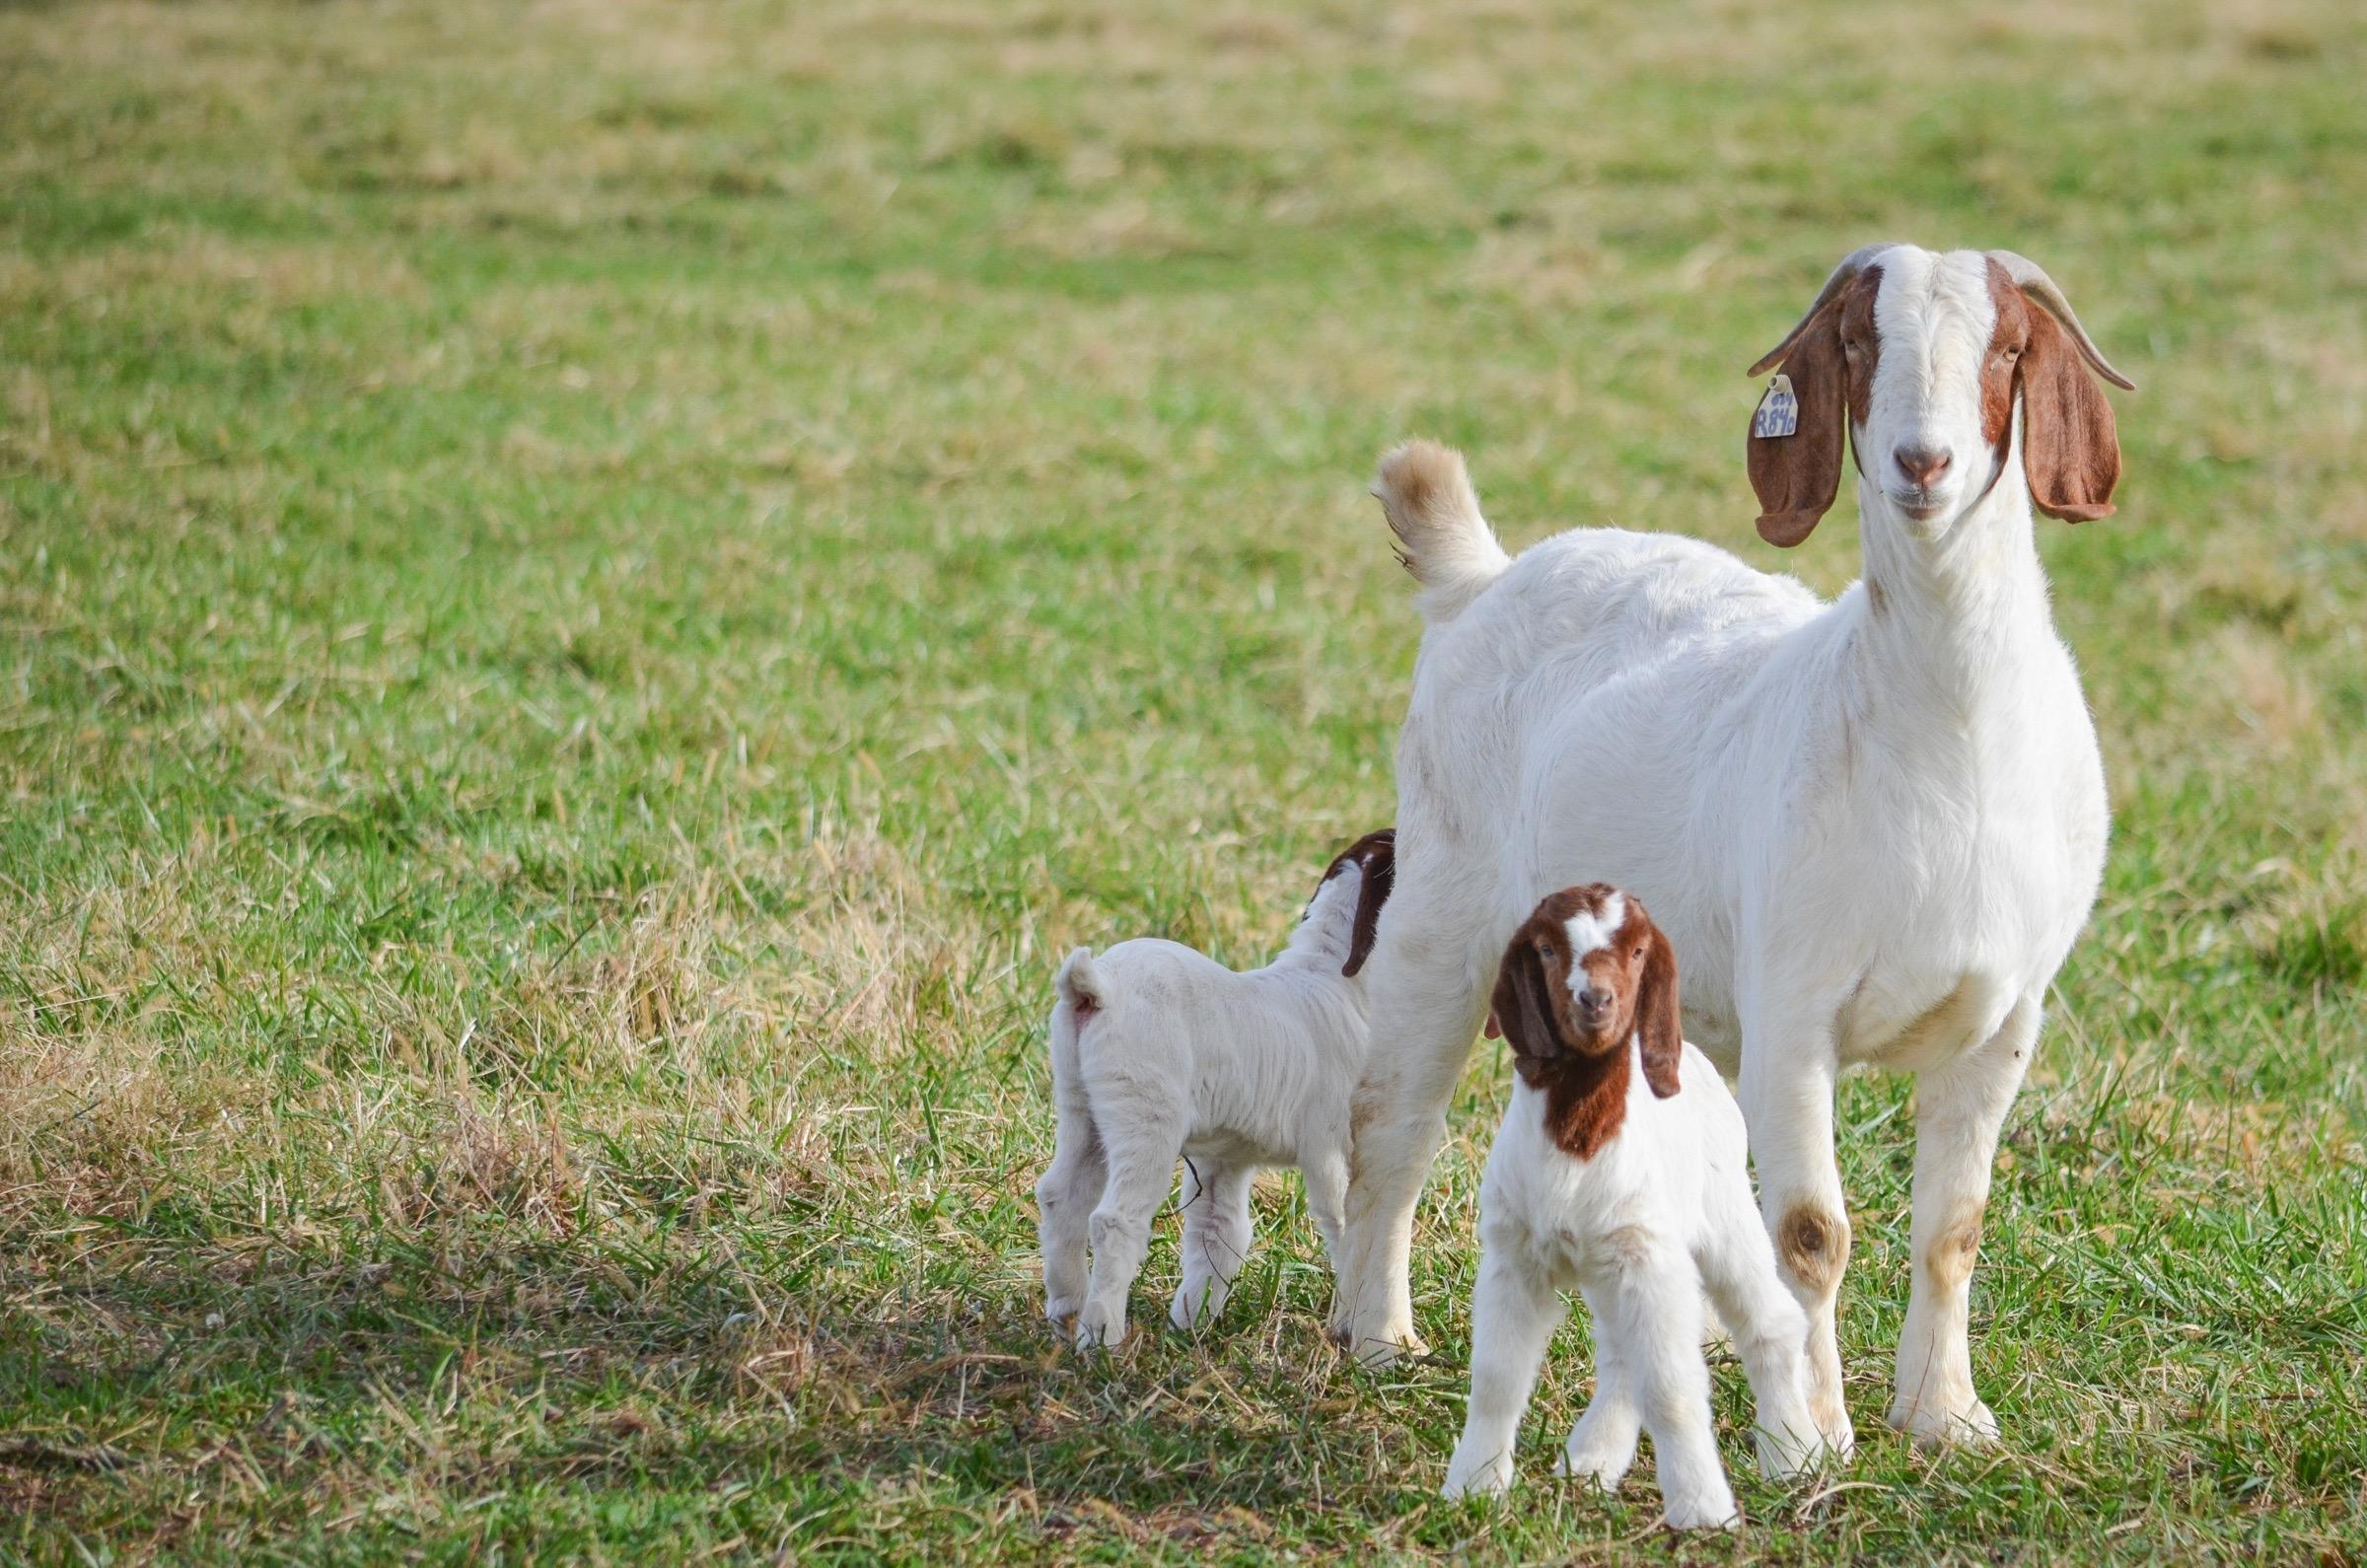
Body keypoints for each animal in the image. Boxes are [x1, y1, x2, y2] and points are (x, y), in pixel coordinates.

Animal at [1344, 246, 2139, 1459]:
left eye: (2009, 349)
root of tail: (1485, 575)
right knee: (1394, 1121)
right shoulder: (1793, 1011)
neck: (1945, 737)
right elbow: (1812, 1231)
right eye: (1859, 345)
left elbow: (1953, 1226)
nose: (1923, 462)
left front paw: (1944, 1416)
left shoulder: (2007, 1018)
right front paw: (1813, 1437)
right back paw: (1378, 1334)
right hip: (1443, 908)